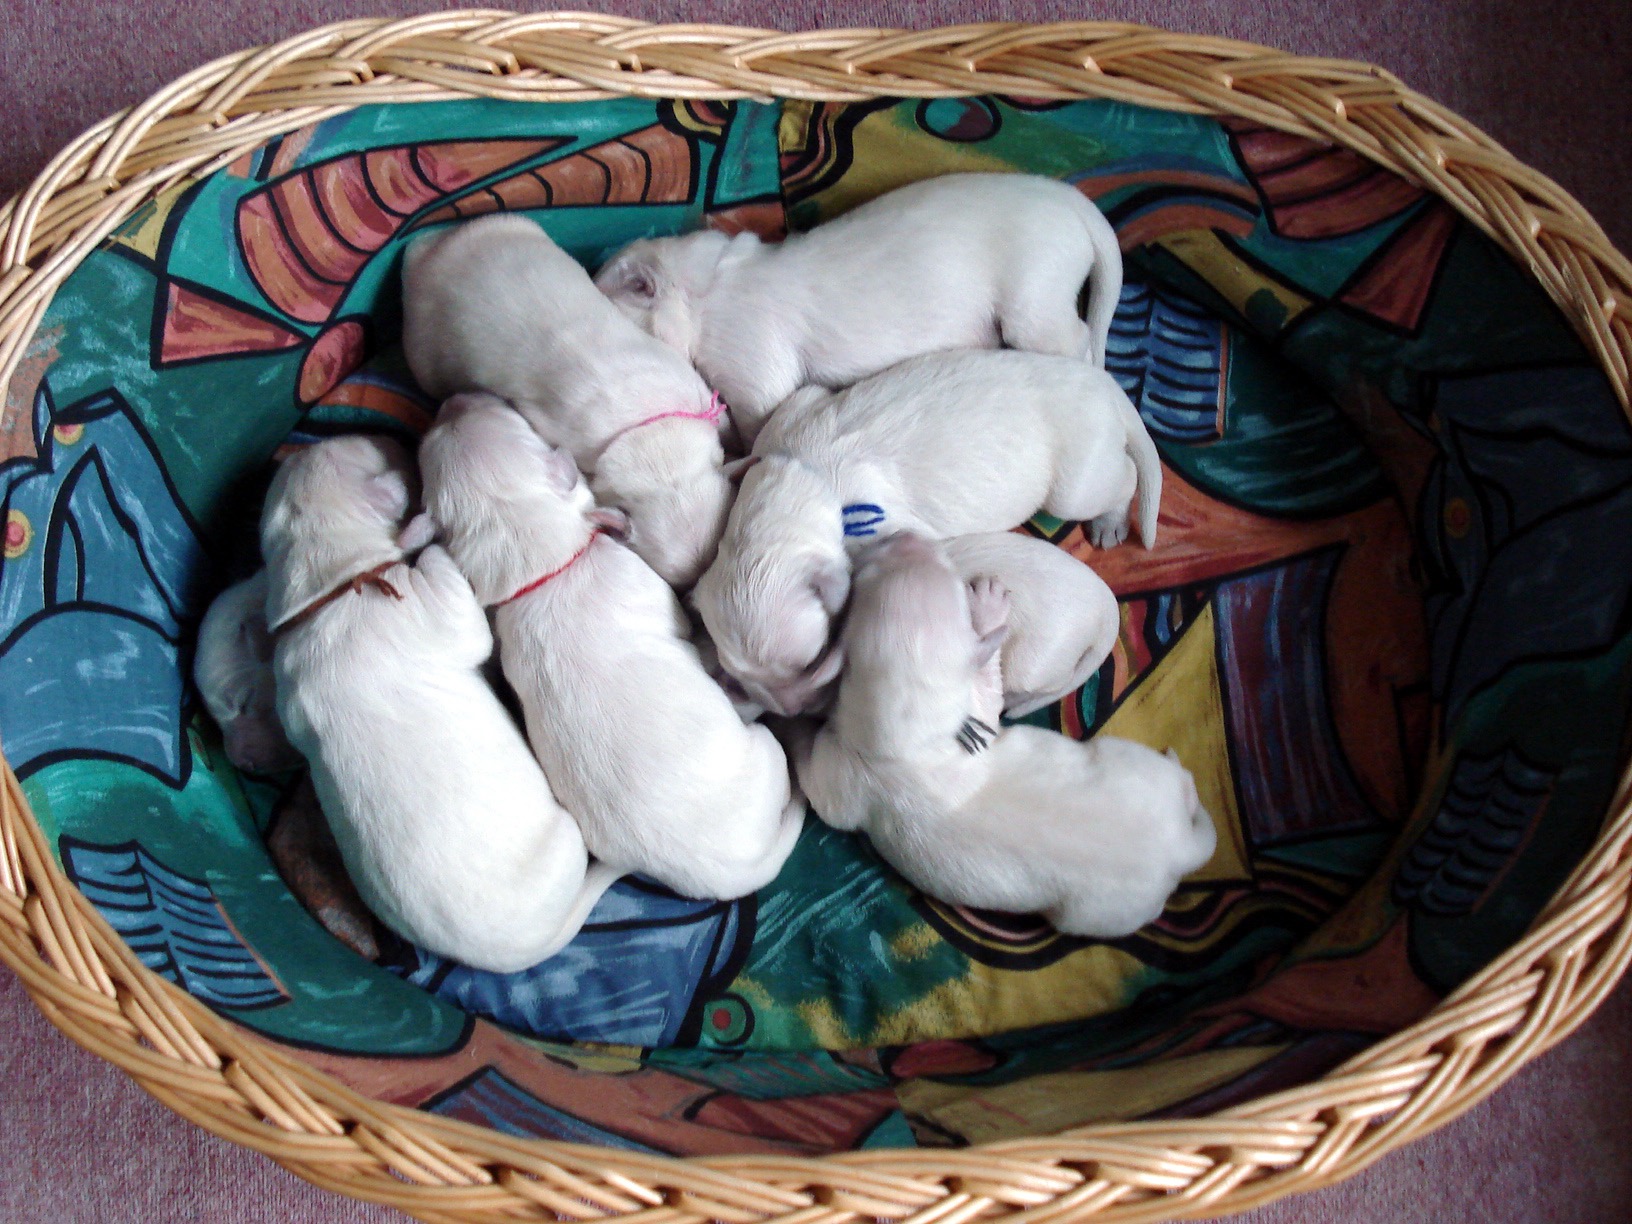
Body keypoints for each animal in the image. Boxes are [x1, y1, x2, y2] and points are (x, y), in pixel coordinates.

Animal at [262, 435, 614, 973]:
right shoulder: (436, 609)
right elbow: (457, 606)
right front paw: (425, 530)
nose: (392, 437)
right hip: (567, 838)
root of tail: (530, 948)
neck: (330, 591)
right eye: (372, 449)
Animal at [417, 394, 806, 901]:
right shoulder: (651, 591)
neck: (543, 568)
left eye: (428, 456)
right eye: (518, 427)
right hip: (765, 752)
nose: (452, 400)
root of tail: (727, 878)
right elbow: (682, 626)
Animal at [595, 172, 1123, 443]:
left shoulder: (753, 374)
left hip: (1034, 303)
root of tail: (1068, 197)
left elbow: (756, 419)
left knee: (1079, 339)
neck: (699, 291)